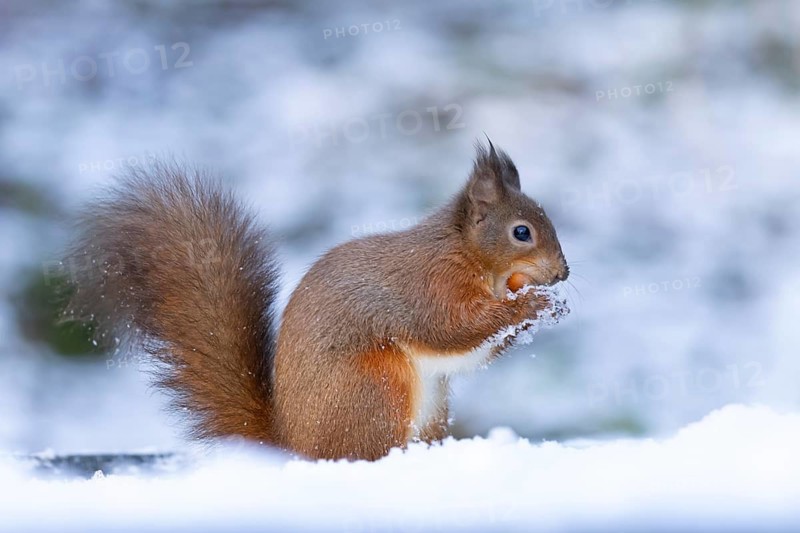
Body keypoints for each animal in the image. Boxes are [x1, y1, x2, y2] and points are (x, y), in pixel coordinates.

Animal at [65, 142, 569, 461]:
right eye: (521, 232)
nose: (563, 273)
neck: (471, 257)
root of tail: (294, 446)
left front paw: (549, 307)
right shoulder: (430, 288)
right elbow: (453, 330)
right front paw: (532, 305)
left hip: (430, 410)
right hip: (375, 389)